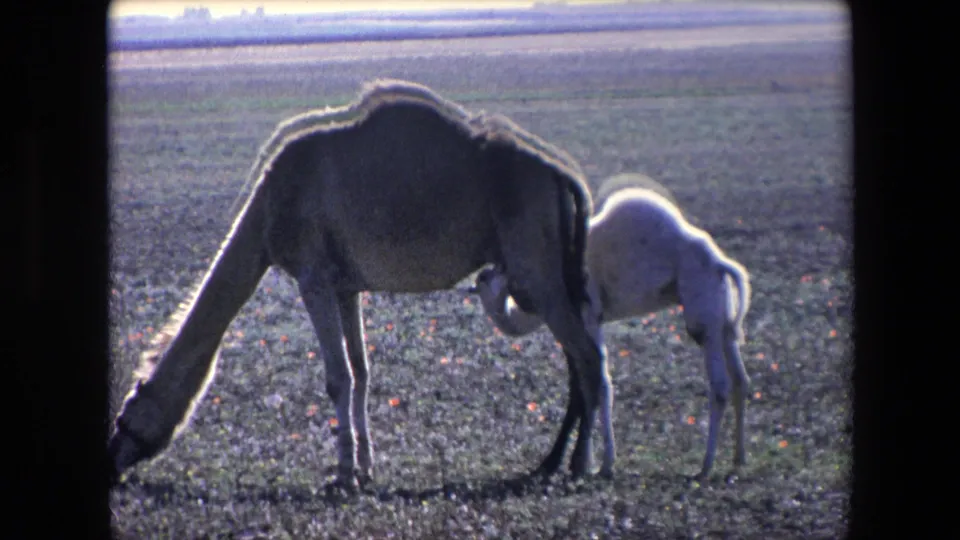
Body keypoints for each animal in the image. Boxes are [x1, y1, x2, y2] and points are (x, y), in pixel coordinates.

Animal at [107, 78, 614, 490]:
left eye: (126, 415)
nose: (114, 460)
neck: (267, 211)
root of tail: (565, 176)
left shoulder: (312, 277)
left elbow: (338, 377)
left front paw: (344, 474)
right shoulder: (346, 287)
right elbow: (362, 371)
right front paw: (367, 468)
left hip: (535, 269)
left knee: (589, 357)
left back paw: (587, 466)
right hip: (551, 274)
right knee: (579, 360)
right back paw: (555, 462)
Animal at [470, 180, 751, 480]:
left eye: (487, 276)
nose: (498, 269)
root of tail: (721, 264)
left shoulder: (589, 315)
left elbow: (600, 381)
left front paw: (602, 463)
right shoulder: (593, 319)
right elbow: (593, 381)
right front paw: (591, 462)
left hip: (702, 312)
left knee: (719, 384)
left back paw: (705, 466)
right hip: (723, 318)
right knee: (740, 379)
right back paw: (738, 458)